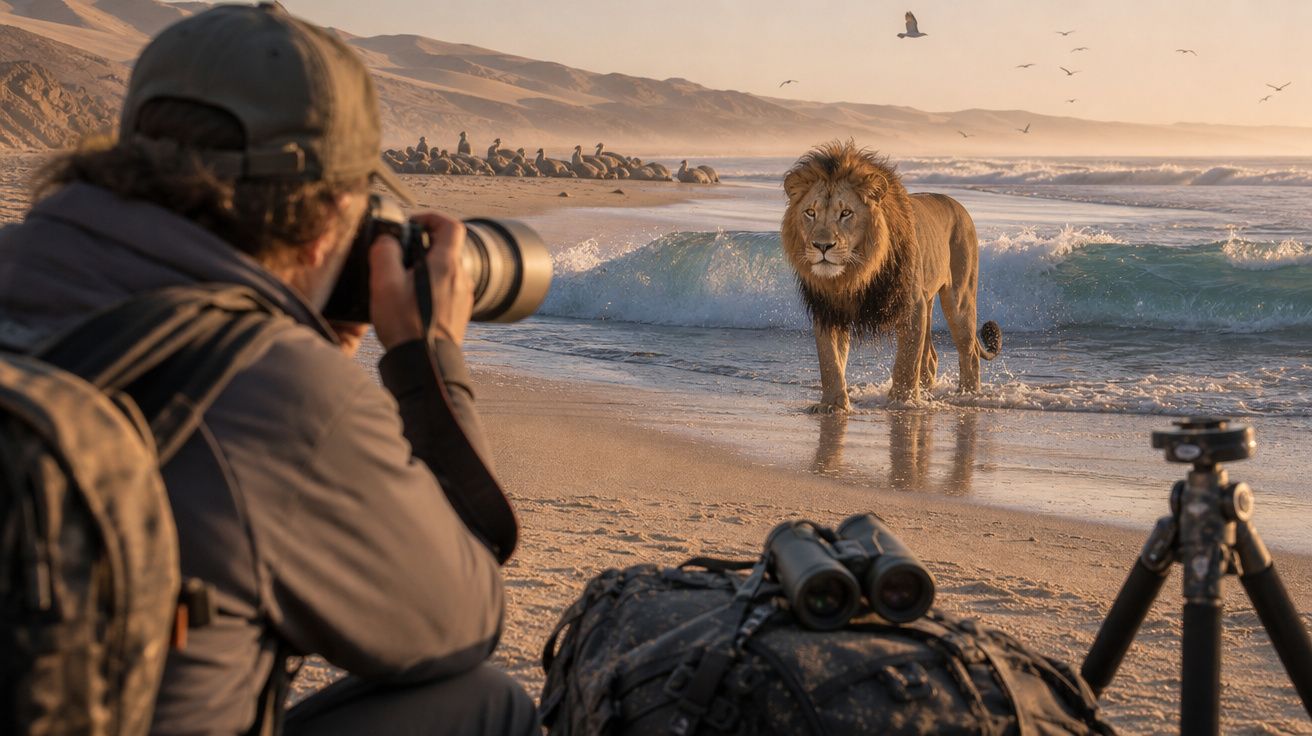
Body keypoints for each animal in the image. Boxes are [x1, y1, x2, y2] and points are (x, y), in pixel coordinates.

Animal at [781, 140, 1002, 410]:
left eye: (846, 213)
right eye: (810, 212)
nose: (822, 246)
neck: (854, 274)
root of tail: (958, 205)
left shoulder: (912, 305)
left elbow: (906, 360)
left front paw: (902, 401)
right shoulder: (828, 309)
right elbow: (829, 361)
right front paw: (832, 405)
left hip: (959, 298)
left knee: (968, 353)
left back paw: (965, 395)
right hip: (929, 298)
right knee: (930, 357)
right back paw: (928, 392)